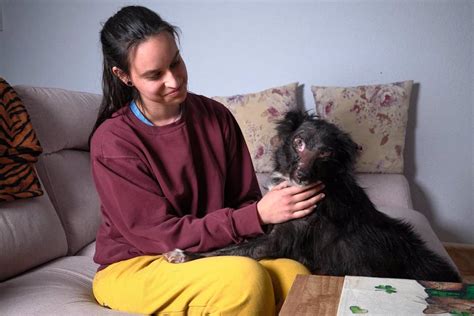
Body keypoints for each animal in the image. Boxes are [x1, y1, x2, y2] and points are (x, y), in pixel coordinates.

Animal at [166, 110, 460, 282]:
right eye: (299, 142)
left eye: (326, 152)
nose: (302, 175)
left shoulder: (275, 243)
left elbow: (226, 251)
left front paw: (183, 255)